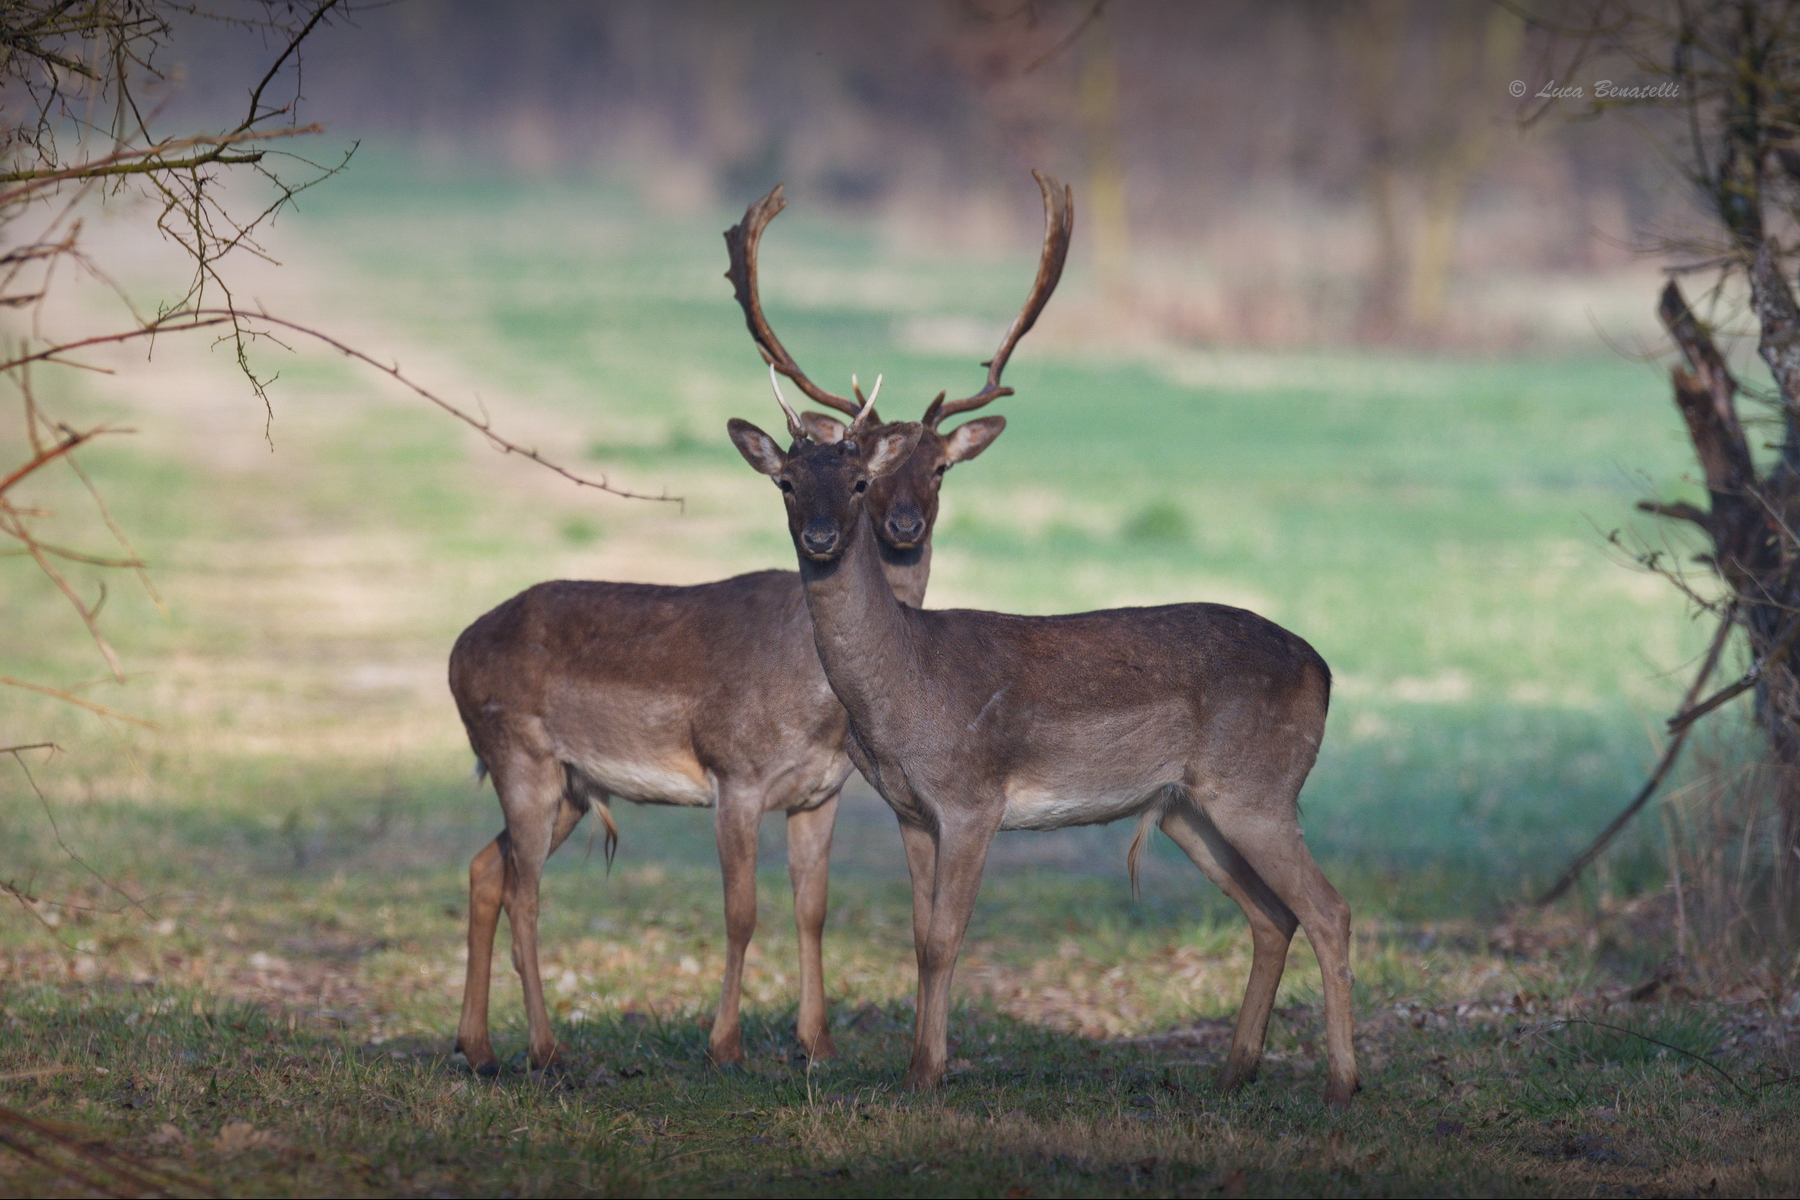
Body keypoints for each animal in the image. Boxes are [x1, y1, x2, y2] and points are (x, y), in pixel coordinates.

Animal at [446, 173, 1073, 1076]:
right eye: (788, 482)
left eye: (937, 468)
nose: (898, 526)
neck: (819, 702)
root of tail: (455, 649)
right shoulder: (732, 773)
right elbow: (741, 912)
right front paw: (726, 1044)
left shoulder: (822, 790)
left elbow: (812, 906)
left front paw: (817, 1042)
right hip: (519, 754)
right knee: (527, 891)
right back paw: (546, 1048)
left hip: (569, 782)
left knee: (484, 868)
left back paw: (477, 1045)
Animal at [725, 293, 1358, 1111]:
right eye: (787, 483)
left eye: (860, 482)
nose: (823, 535)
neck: (901, 690)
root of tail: (1326, 671)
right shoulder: (910, 808)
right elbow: (918, 936)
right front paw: (918, 1065)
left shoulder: (973, 796)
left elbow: (944, 939)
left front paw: (928, 1072)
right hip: (1190, 808)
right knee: (1273, 915)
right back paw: (1232, 1071)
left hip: (1260, 787)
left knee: (1328, 909)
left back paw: (1342, 1081)